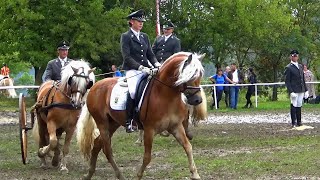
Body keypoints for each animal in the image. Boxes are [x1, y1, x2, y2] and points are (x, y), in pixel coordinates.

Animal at [77, 51, 208, 179]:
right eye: (190, 75)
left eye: (200, 75)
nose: (197, 100)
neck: (165, 95)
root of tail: (95, 86)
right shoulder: (149, 130)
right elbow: (147, 157)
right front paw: (138, 175)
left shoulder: (175, 126)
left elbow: (188, 147)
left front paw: (195, 174)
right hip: (102, 123)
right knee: (107, 150)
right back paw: (119, 175)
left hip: (113, 123)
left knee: (97, 144)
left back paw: (89, 174)